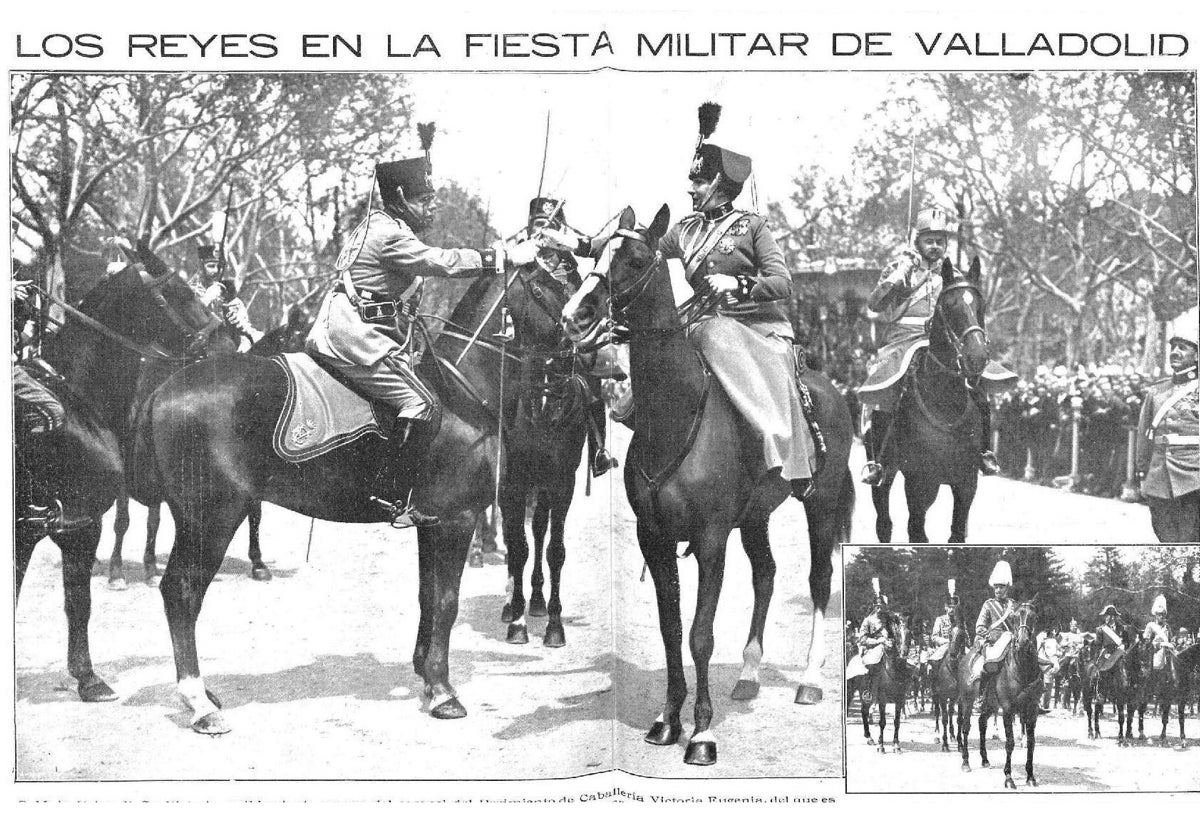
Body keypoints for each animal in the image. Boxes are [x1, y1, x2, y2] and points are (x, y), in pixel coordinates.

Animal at [556, 206, 859, 763]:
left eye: (635, 259)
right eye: (597, 251)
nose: (574, 317)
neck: (676, 415)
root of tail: (832, 388)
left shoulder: (711, 540)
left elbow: (700, 634)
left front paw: (700, 732)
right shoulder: (653, 539)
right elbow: (671, 629)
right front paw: (666, 719)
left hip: (820, 504)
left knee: (820, 580)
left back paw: (809, 679)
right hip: (756, 516)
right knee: (766, 575)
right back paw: (749, 673)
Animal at [878, 258, 988, 544]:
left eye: (980, 305)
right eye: (950, 305)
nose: (977, 356)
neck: (945, 401)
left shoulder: (966, 482)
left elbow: (957, 533)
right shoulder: (919, 481)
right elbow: (917, 531)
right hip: (887, 471)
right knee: (884, 523)